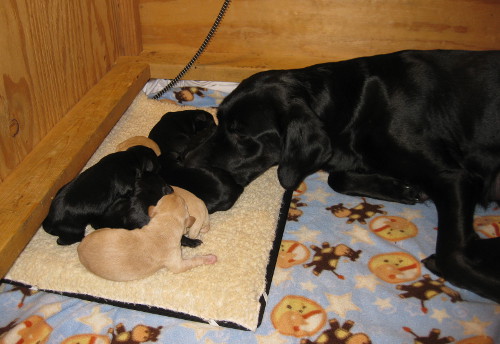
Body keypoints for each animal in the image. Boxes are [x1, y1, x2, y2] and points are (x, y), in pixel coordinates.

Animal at [42, 145, 200, 247]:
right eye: (156, 161)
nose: (161, 166)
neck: (130, 158)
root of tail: (49, 220)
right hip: (73, 230)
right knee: (65, 240)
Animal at [77, 192, 217, 280]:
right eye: (184, 204)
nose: (173, 193)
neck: (163, 227)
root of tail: (79, 248)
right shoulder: (178, 264)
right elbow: (194, 261)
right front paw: (209, 258)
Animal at [185, 49, 500, 302]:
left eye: (241, 133)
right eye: (219, 119)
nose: (186, 163)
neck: (355, 105)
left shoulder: (453, 176)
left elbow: (450, 256)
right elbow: (338, 178)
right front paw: (402, 188)